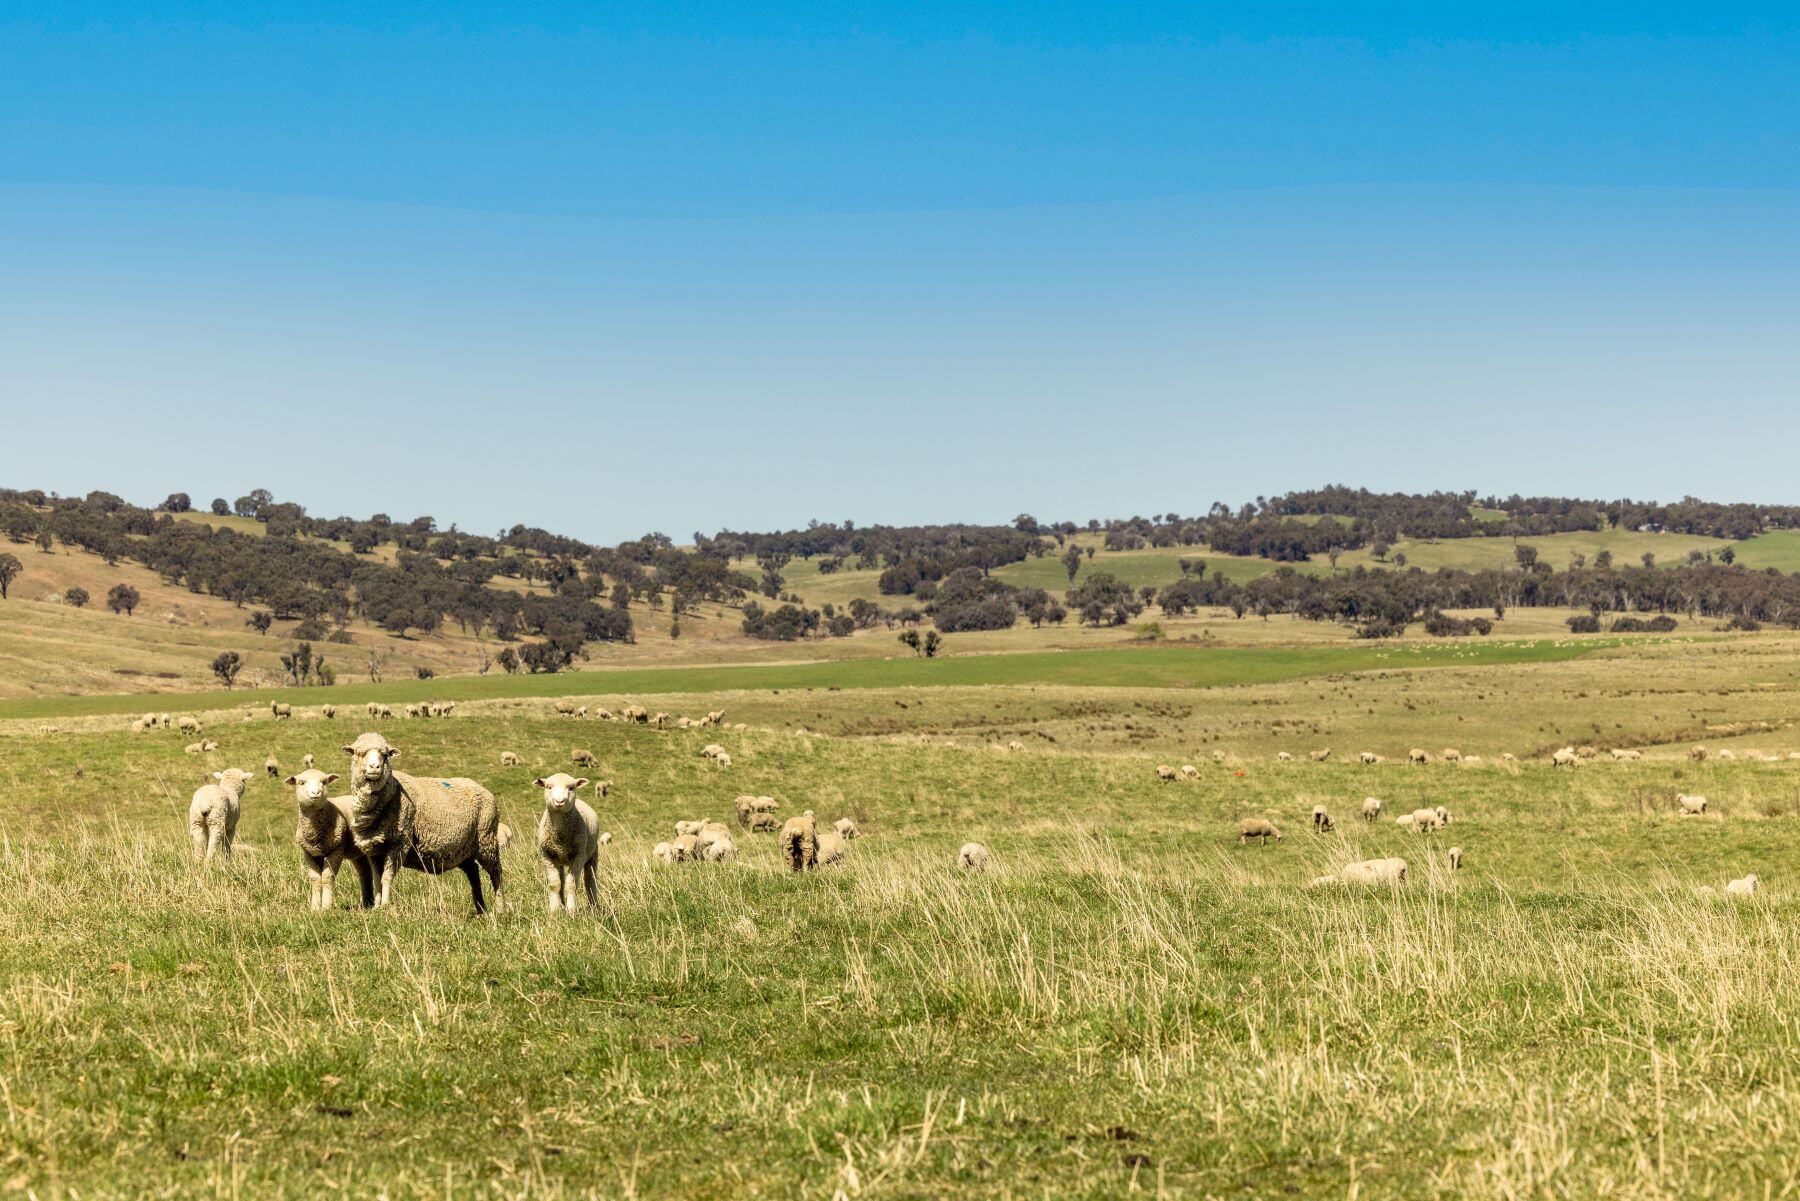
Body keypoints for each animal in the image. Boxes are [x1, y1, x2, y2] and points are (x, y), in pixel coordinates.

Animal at [284, 770, 372, 911]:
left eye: (324, 782)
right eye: (301, 783)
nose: (315, 793)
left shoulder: (336, 850)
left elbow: (327, 878)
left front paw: (326, 907)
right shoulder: (310, 853)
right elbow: (315, 879)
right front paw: (315, 907)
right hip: (358, 853)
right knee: (365, 872)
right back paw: (368, 902)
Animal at [338, 727, 504, 914]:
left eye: (385, 754)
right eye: (359, 753)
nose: (375, 767)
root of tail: (484, 790)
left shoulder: (399, 842)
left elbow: (386, 877)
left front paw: (385, 905)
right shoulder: (375, 849)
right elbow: (377, 878)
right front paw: (377, 906)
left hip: (486, 839)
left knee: (496, 873)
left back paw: (499, 908)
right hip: (463, 849)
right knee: (474, 872)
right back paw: (480, 908)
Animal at [532, 774, 604, 914]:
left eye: (571, 787)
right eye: (549, 787)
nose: (559, 801)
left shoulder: (579, 856)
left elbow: (571, 885)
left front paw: (572, 910)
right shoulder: (547, 856)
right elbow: (554, 884)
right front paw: (554, 910)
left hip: (591, 854)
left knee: (590, 881)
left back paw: (593, 907)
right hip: (558, 858)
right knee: (561, 880)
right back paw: (561, 905)